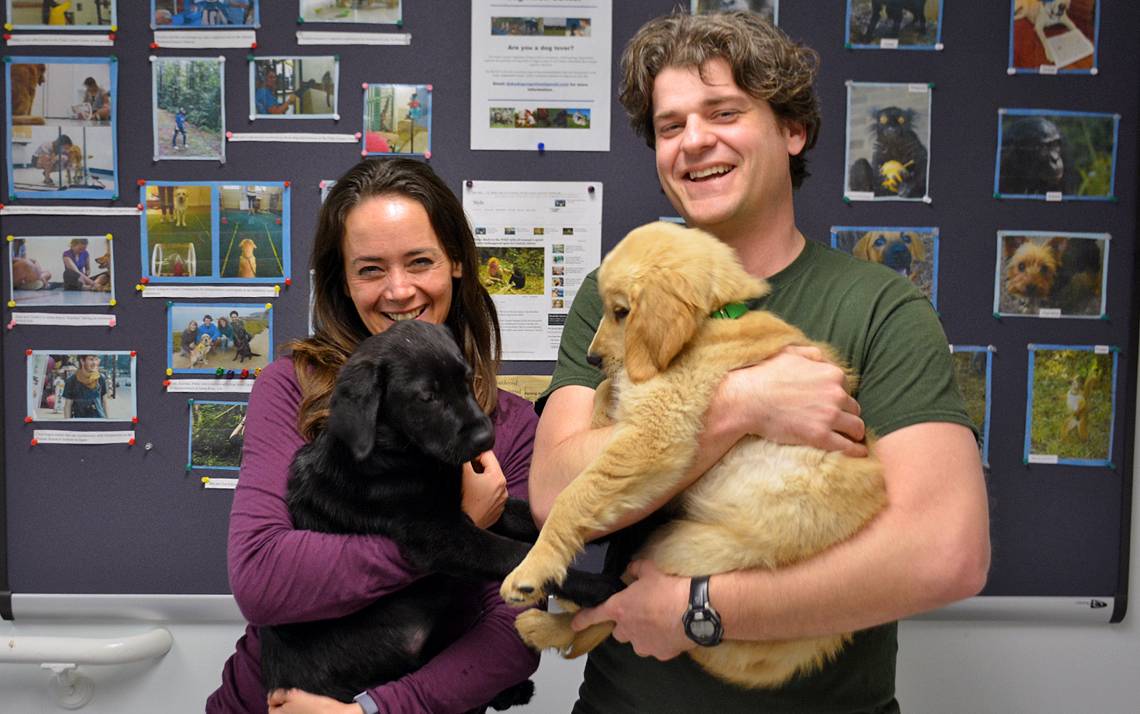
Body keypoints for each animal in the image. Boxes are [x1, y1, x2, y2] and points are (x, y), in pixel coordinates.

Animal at [261, 321, 624, 707]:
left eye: (465, 379)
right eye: (427, 397)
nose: (485, 437)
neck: (402, 455)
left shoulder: (480, 511)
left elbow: (534, 518)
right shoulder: (442, 535)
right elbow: (517, 554)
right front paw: (598, 586)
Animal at [503, 221, 884, 684]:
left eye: (621, 311)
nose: (591, 358)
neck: (711, 321)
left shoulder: (657, 432)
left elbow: (576, 494)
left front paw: (532, 568)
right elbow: (606, 391)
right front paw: (600, 410)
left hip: (680, 550)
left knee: (612, 606)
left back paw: (550, 618)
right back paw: (545, 626)